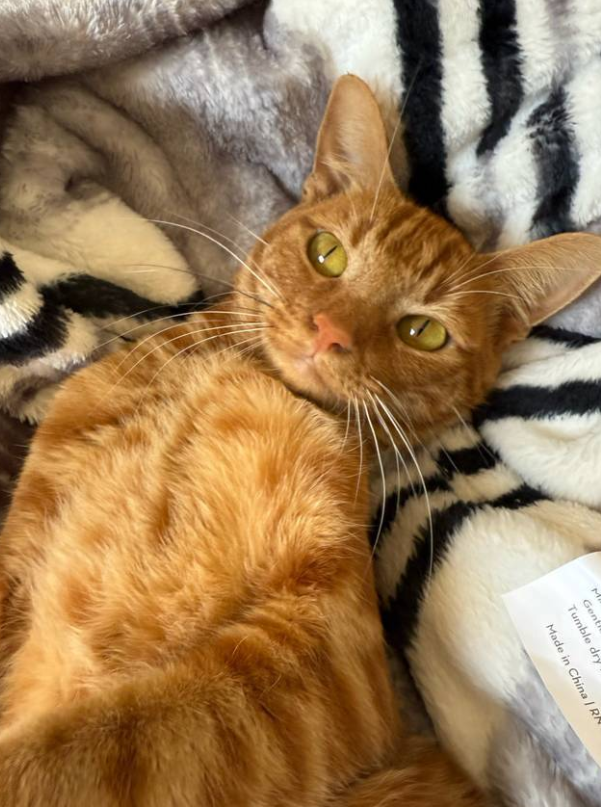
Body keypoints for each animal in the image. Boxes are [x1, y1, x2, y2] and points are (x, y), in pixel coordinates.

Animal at [0, 73, 600, 806]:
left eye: (424, 332)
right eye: (328, 254)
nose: (329, 333)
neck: (227, 375)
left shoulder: (326, 663)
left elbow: (114, 738)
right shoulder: (24, 545)